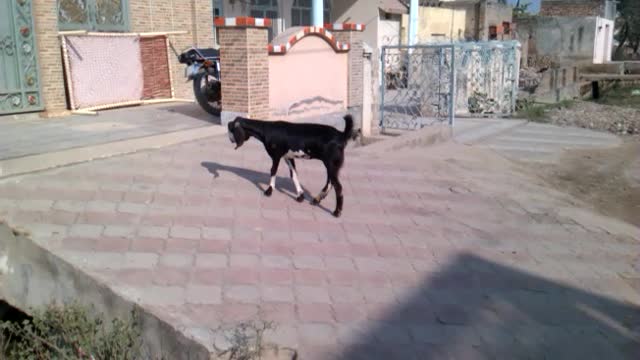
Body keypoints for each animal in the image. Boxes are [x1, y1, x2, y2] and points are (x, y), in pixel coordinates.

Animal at [228, 114, 356, 217]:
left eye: (231, 128)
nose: (230, 140)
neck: (266, 130)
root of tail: (342, 135)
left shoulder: (276, 155)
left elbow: (273, 170)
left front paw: (269, 190)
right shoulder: (288, 157)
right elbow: (294, 174)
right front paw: (300, 195)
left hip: (331, 163)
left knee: (338, 186)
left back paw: (337, 212)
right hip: (333, 164)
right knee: (330, 182)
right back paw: (317, 199)